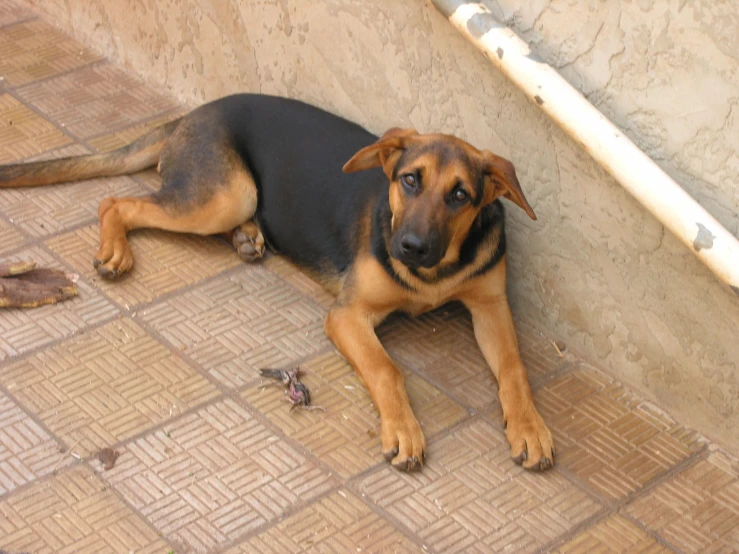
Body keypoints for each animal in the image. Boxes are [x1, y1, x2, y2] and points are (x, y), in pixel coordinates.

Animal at [0, 94, 556, 470]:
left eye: (461, 195)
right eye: (409, 180)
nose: (411, 247)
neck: (434, 273)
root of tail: (196, 112)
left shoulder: (491, 306)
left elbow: (514, 368)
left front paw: (530, 427)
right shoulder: (347, 316)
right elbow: (386, 368)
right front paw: (403, 428)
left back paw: (248, 237)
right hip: (228, 194)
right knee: (115, 201)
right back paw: (118, 248)